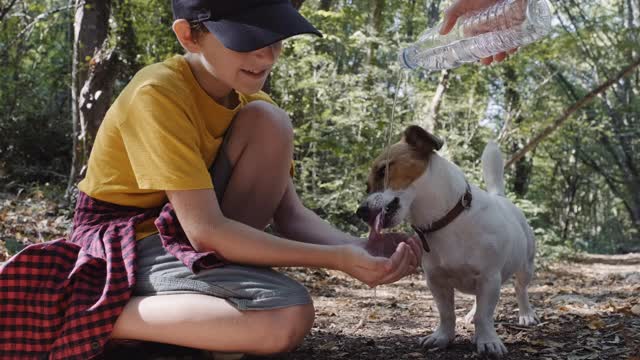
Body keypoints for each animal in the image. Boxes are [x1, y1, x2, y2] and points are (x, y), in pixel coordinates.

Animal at [358, 125, 536, 356]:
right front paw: (442, 337)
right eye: (367, 186)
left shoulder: (489, 278)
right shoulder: (436, 281)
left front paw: (488, 340)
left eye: (383, 171)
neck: (445, 222)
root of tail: (501, 197)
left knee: (520, 289)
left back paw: (526, 314)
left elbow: (484, 316)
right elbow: (447, 313)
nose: (359, 212)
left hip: (526, 267)